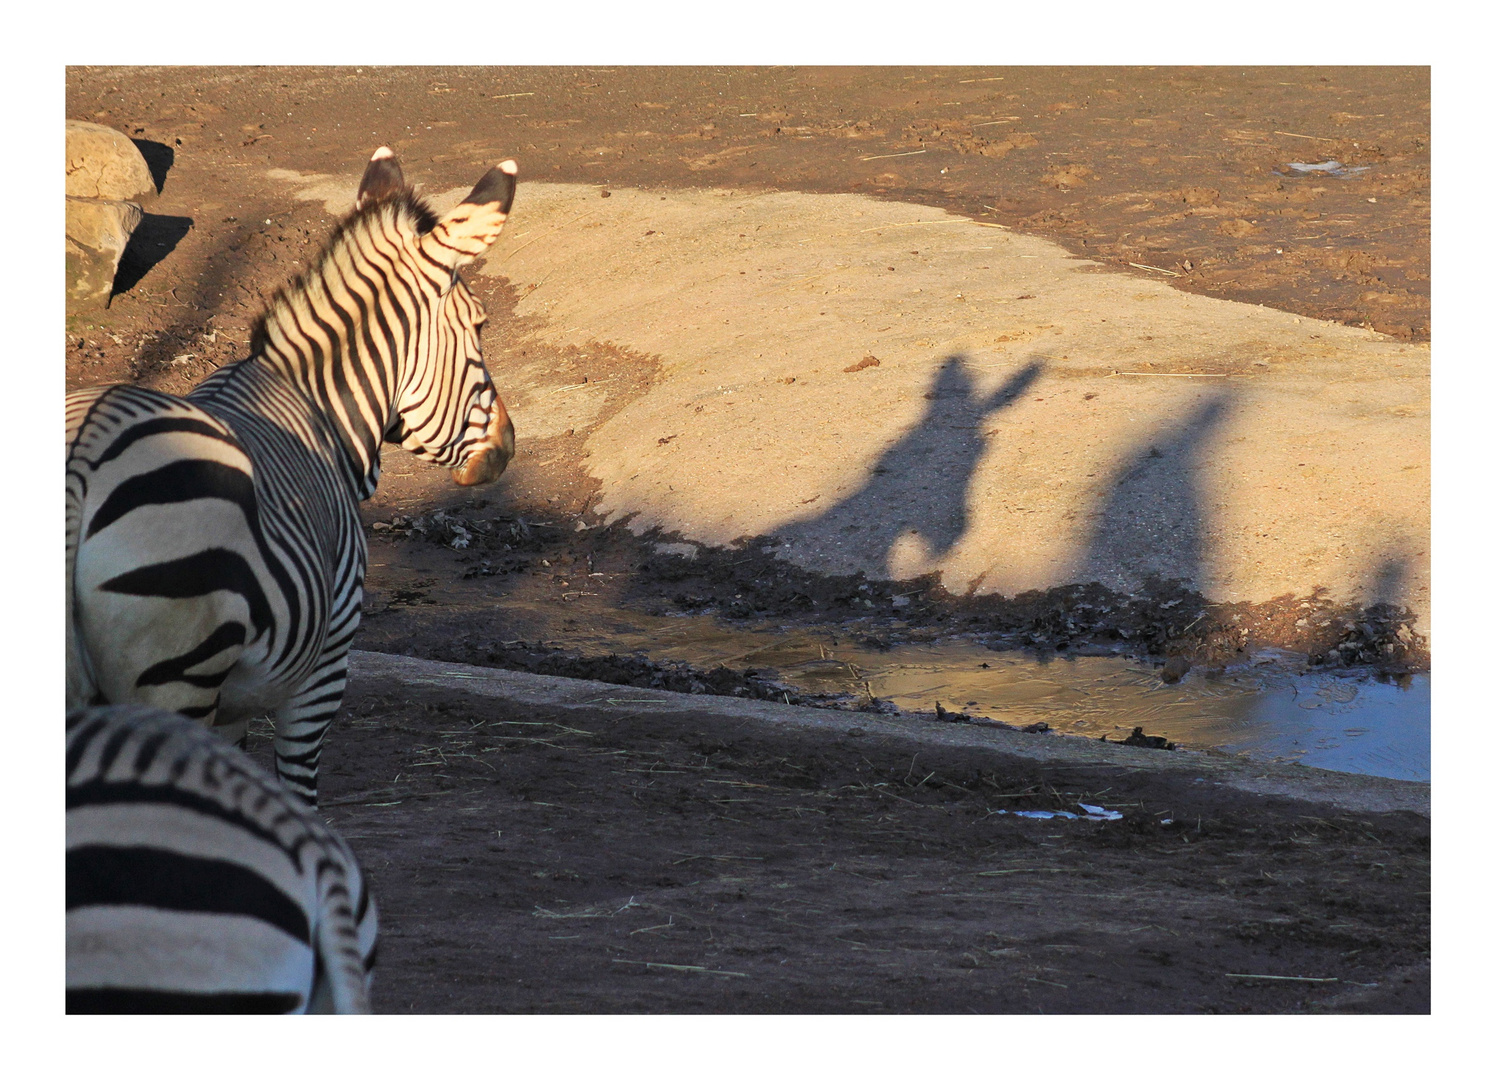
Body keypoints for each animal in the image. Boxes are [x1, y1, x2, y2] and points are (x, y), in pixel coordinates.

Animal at [67, 147, 517, 801]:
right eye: (479, 325)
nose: (507, 447)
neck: (318, 407)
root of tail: (82, 458)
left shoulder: (232, 705)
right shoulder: (322, 671)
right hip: (177, 680)